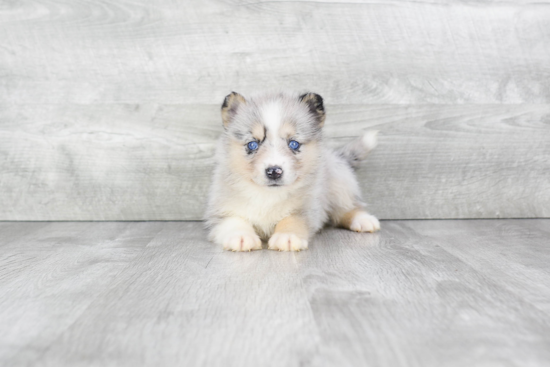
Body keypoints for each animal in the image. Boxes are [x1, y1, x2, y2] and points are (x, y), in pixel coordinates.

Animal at [205, 92, 382, 253]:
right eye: (253, 145)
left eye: (294, 144)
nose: (274, 171)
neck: (268, 196)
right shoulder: (221, 210)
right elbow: (234, 220)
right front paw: (241, 237)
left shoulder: (307, 209)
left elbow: (292, 219)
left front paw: (287, 236)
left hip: (339, 186)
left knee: (348, 207)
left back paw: (364, 220)